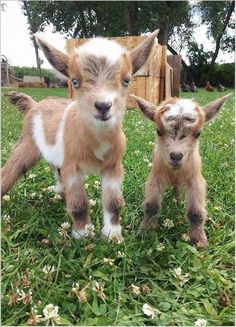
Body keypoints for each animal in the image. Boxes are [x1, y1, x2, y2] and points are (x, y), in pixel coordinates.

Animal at [1, 30, 159, 241]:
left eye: (126, 80)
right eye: (75, 82)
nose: (103, 106)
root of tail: (33, 105)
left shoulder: (113, 166)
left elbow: (114, 202)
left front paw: (113, 235)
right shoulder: (73, 166)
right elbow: (78, 203)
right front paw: (82, 233)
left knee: (55, 170)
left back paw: (60, 192)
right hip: (27, 145)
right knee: (11, 170)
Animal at [130, 93, 231, 247]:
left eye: (198, 133)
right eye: (158, 131)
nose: (176, 156)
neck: (175, 172)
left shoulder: (195, 180)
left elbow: (195, 212)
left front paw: (199, 240)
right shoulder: (155, 177)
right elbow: (151, 205)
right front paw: (147, 231)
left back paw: (176, 200)